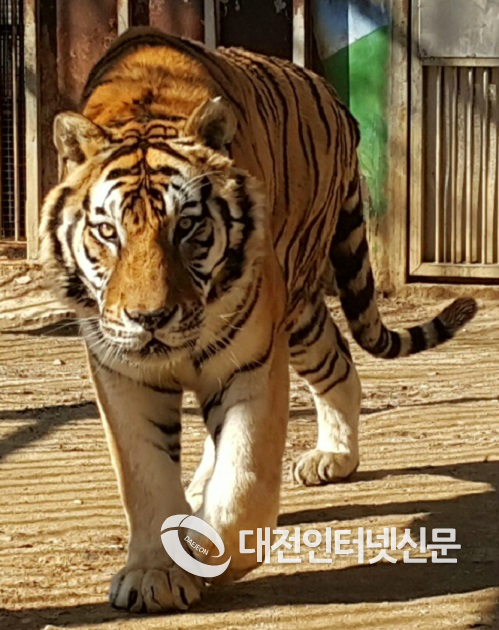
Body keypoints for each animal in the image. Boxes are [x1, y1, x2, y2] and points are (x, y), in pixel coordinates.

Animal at [39, 27, 477, 613]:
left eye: (187, 228)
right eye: (108, 232)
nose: (150, 318)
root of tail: (334, 98)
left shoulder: (249, 359)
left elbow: (244, 478)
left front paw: (209, 553)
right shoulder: (121, 371)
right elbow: (145, 475)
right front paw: (154, 572)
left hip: (293, 303)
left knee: (338, 365)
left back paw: (332, 457)